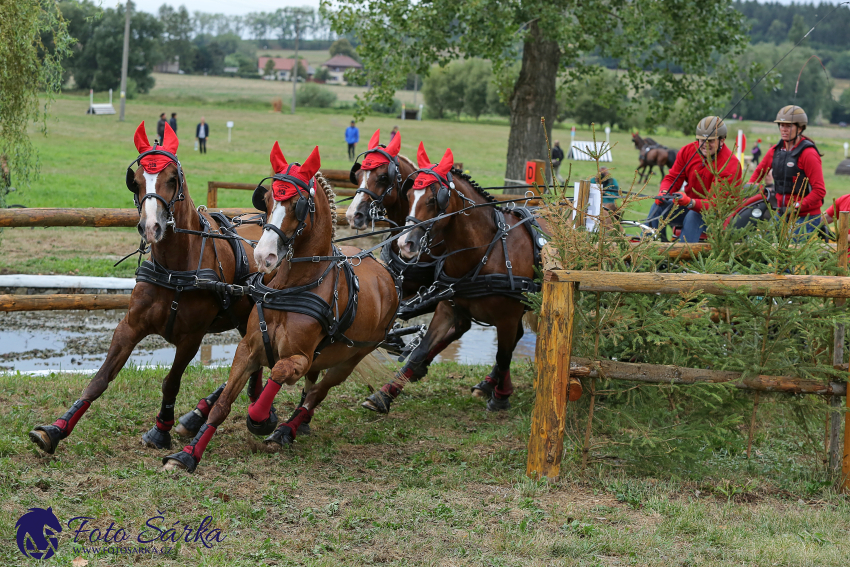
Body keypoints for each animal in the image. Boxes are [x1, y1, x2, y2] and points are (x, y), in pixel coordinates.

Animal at [29, 123, 264, 458]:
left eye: (172, 179)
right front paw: (55, 429)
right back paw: (210, 411)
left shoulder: (191, 338)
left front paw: (160, 430)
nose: (151, 227)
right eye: (136, 181)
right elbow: (101, 378)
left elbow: (171, 382)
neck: (175, 269)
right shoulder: (129, 326)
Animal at [164, 143, 400, 474]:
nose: (263, 255)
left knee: (317, 393)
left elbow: (277, 372)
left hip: (351, 358)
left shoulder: (299, 358)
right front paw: (187, 454)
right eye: (266, 200)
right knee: (311, 387)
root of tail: (384, 271)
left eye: (298, 204)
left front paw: (261, 418)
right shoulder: (249, 348)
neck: (293, 287)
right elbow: (222, 405)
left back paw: (286, 429)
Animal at [364, 144, 544, 414]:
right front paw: (385, 393)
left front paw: (501, 396)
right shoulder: (448, 307)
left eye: (433, 199)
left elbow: (503, 355)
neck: (485, 251)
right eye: (409, 196)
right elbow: (421, 349)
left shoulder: (508, 316)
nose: (405, 243)